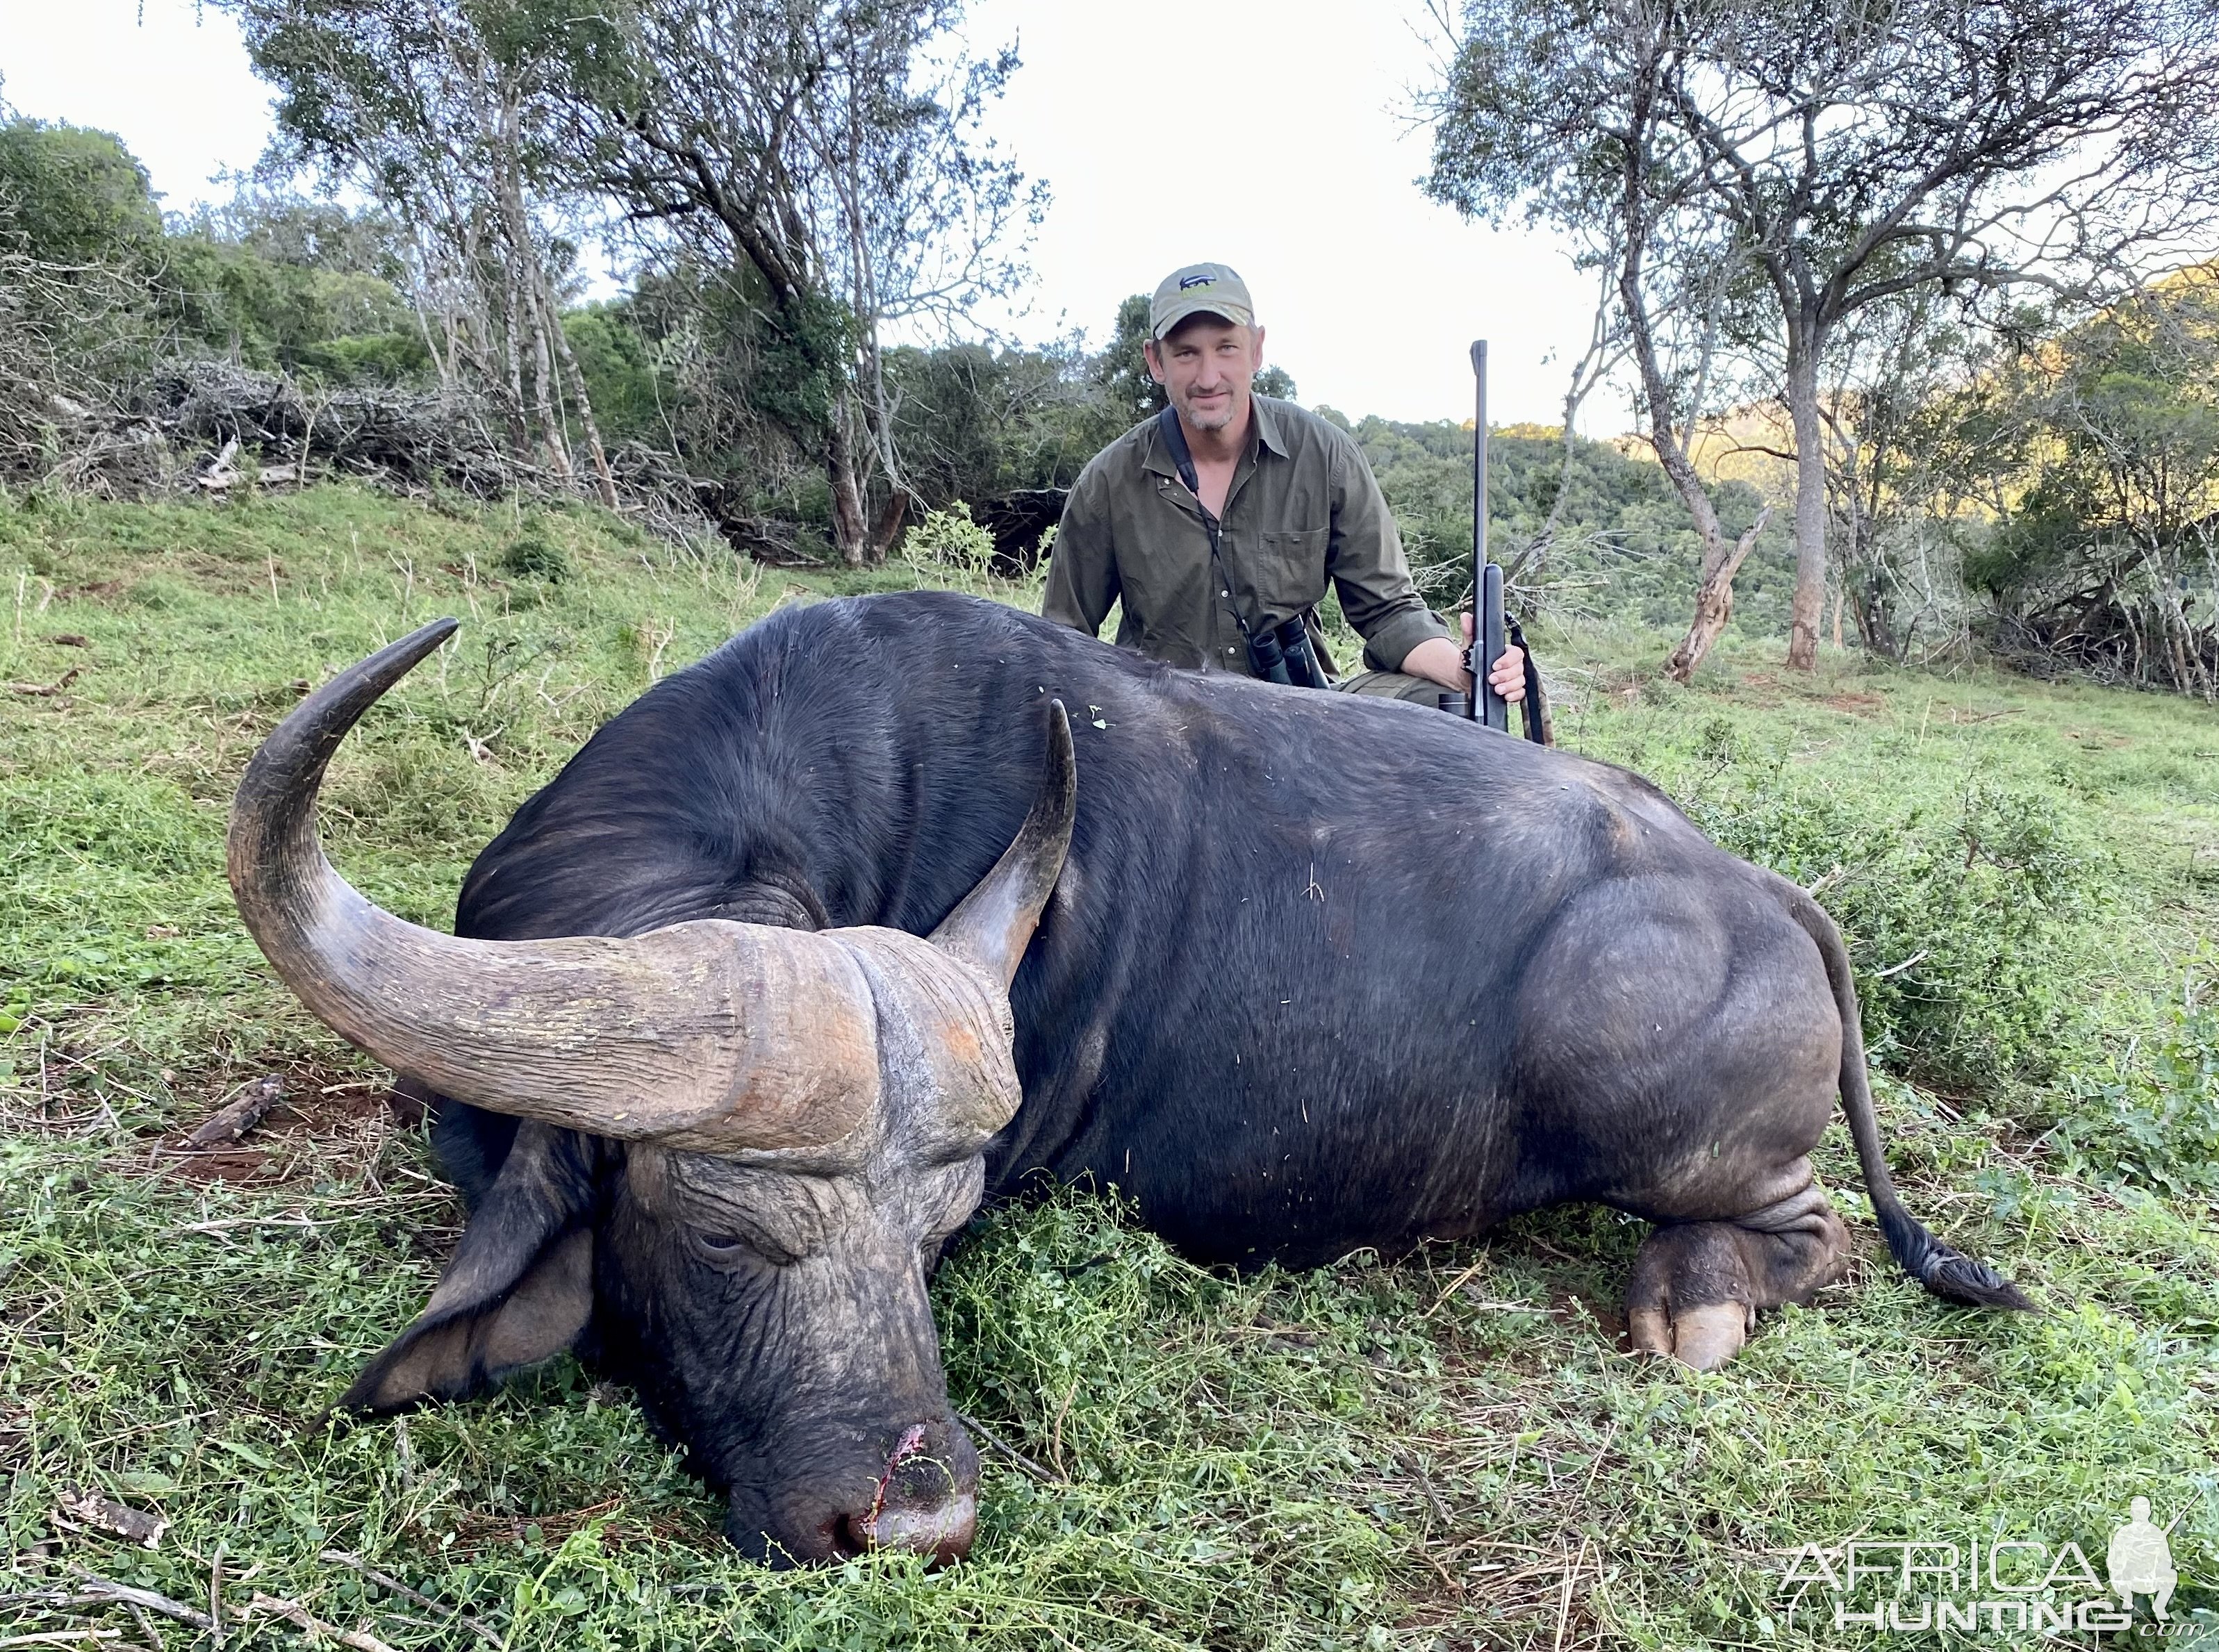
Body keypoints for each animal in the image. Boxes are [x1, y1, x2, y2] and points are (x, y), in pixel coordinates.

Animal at [225, 590, 2032, 1561]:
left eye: (936, 1234)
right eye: (727, 1229)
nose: (913, 1521)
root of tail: (1759, 889)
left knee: (1809, 1226)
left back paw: (1691, 1299)